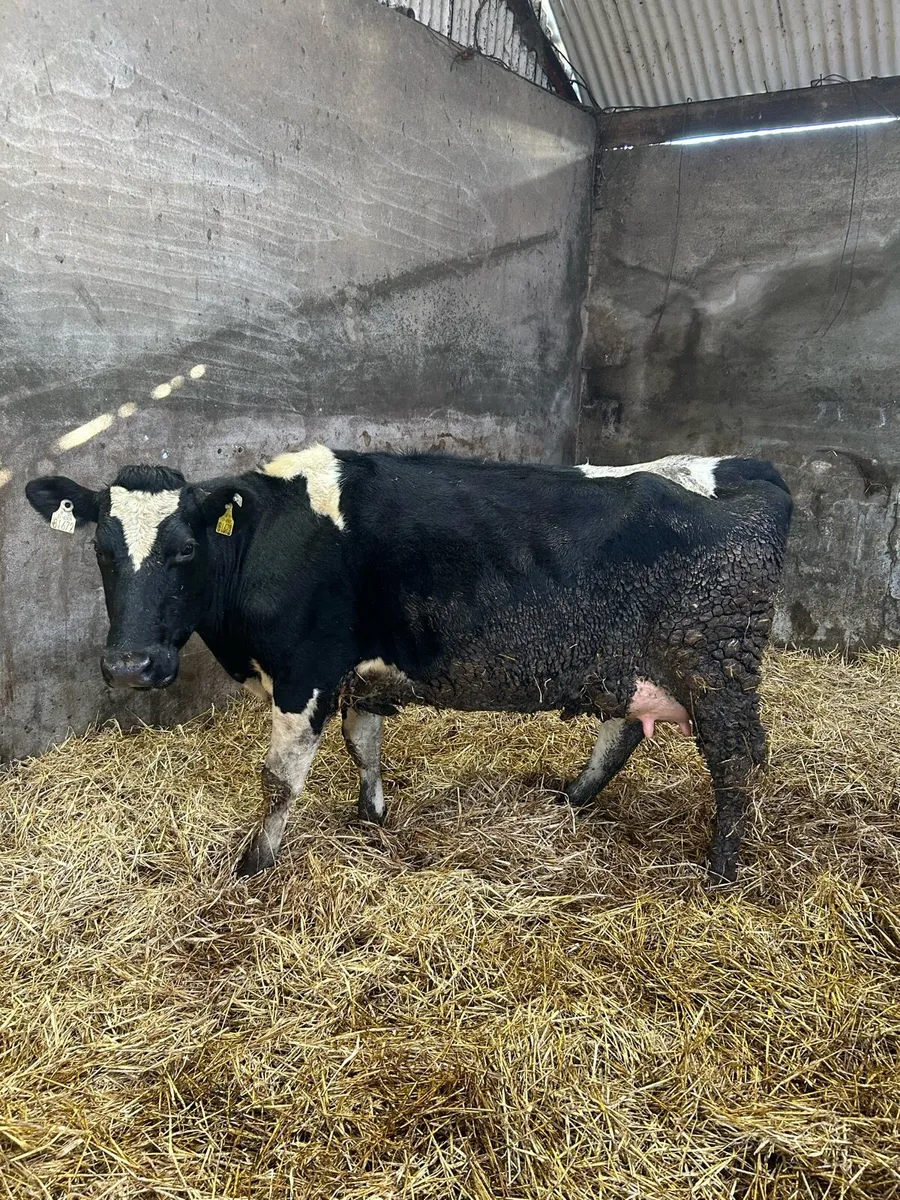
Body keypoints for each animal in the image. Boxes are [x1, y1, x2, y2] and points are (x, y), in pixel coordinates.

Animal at [25, 446, 792, 883]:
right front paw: (372, 816)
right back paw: (570, 800)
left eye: (185, 549)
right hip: (628, 663)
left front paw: (253, 865)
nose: (131, 665)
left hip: (718, 666)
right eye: (101, 550)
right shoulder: (356, 673)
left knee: (738, 758)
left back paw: (721, 867)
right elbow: (363, 743)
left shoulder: (303, 671)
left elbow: (279, 781)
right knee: (624, 729)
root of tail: (746, 470)